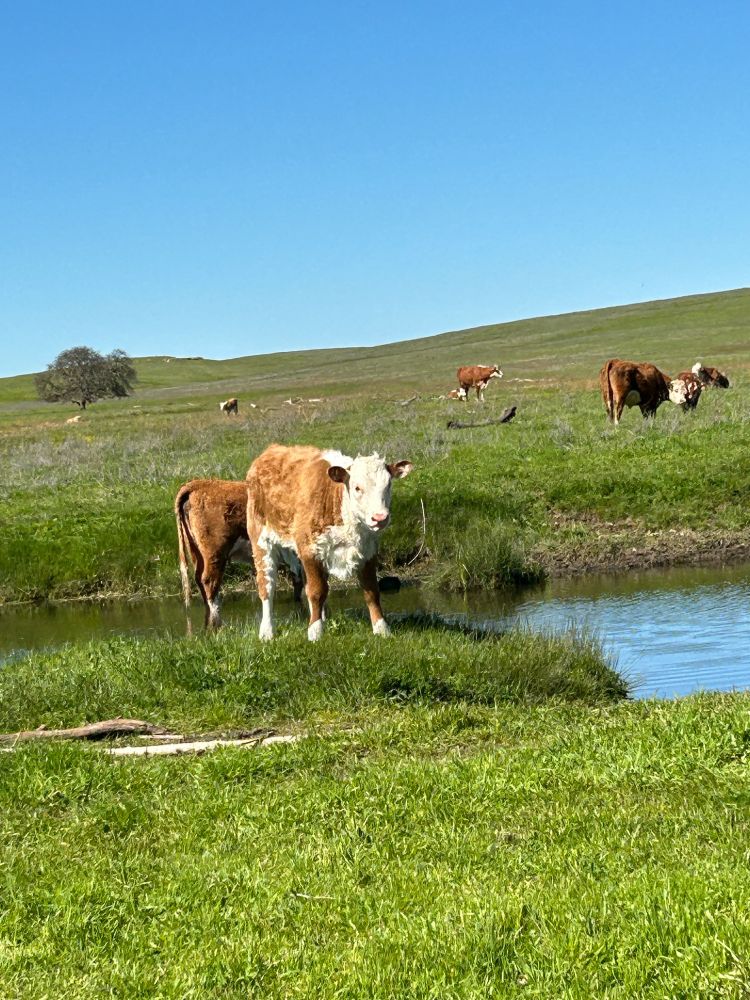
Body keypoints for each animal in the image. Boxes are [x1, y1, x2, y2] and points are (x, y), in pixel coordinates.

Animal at [175, 479, 303, 628]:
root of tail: (198, 483)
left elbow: (298, 579)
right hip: (215, 551)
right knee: (208, 580)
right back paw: (216, 615)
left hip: (196, 551)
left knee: (199, 579)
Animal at [246, 445, 413, 641]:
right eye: (357, 488)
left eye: (388, 485)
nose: (380, 518)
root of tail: (271, 450)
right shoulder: (310, 549)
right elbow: (316, 591)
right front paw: (315, 631)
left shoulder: (368, 551)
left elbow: (372, 591)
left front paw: (381, 628)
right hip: (261, 541)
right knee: (267, 586)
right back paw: (267, 631)